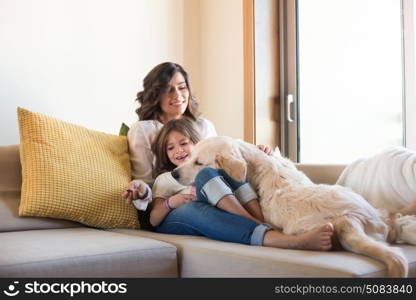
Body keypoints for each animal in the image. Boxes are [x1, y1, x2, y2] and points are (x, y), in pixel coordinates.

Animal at [173, 137, 410, 278]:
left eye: (198, 163)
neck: (260, 165)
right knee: (392, 219)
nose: (174, 173)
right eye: (189, 157)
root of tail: (350, 218)